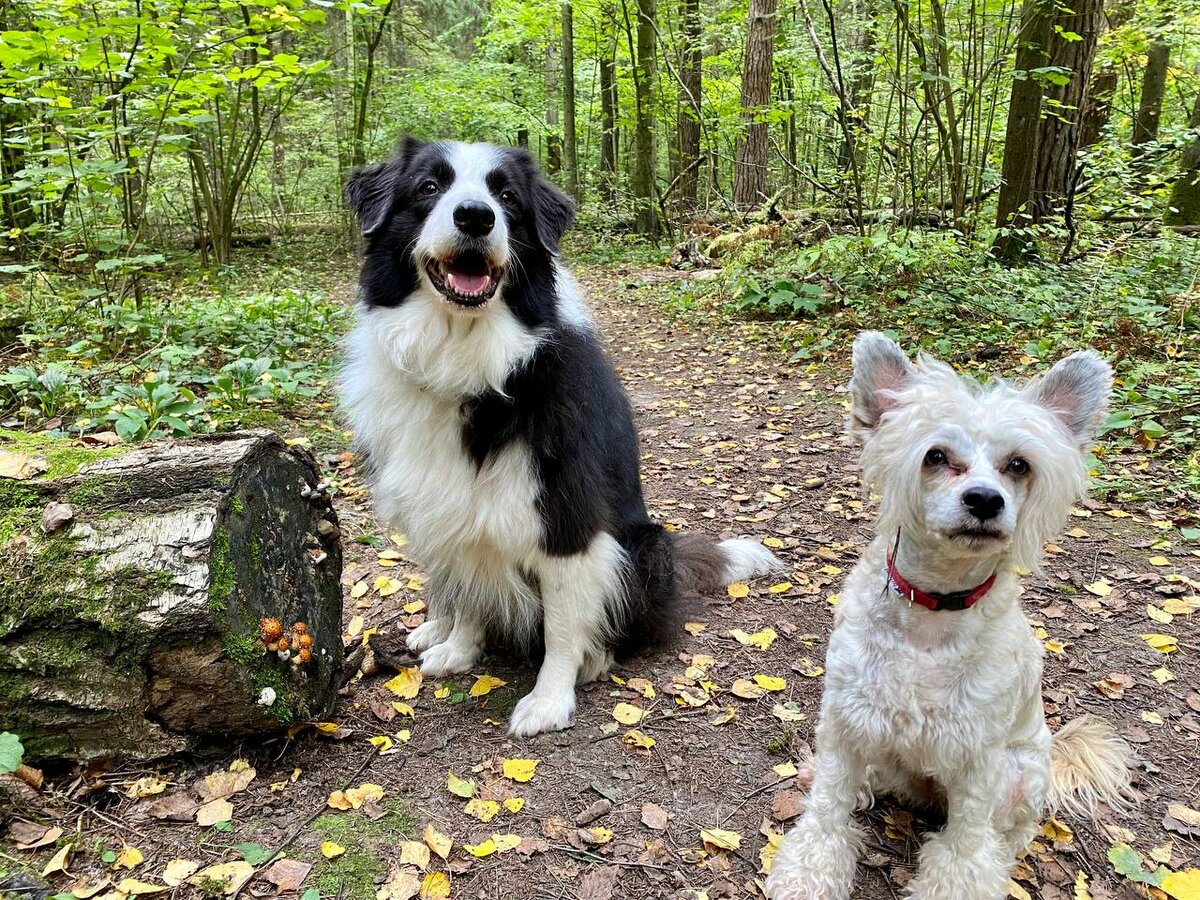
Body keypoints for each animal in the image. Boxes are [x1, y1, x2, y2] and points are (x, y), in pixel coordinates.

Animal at [343, 137, 782, 734]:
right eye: (429, 187)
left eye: (506, 196)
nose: (475, 216)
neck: (467, 361)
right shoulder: (453, 506)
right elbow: (470, 588)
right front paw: (459, 649)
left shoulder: (567, 519)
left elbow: (561, 626)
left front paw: (550, 698)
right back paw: (436, 627)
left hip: (642, 548)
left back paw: (594, 657)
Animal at [768, 336, 1132, 900]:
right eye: (936, 456)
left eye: (1018, 465)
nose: (985, 500)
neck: (932, 612)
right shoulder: (848, 721)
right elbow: (828, 808)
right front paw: (811, 870)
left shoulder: (978, 758)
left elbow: (965, 851)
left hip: (1020, 774)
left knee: (1013, 830)